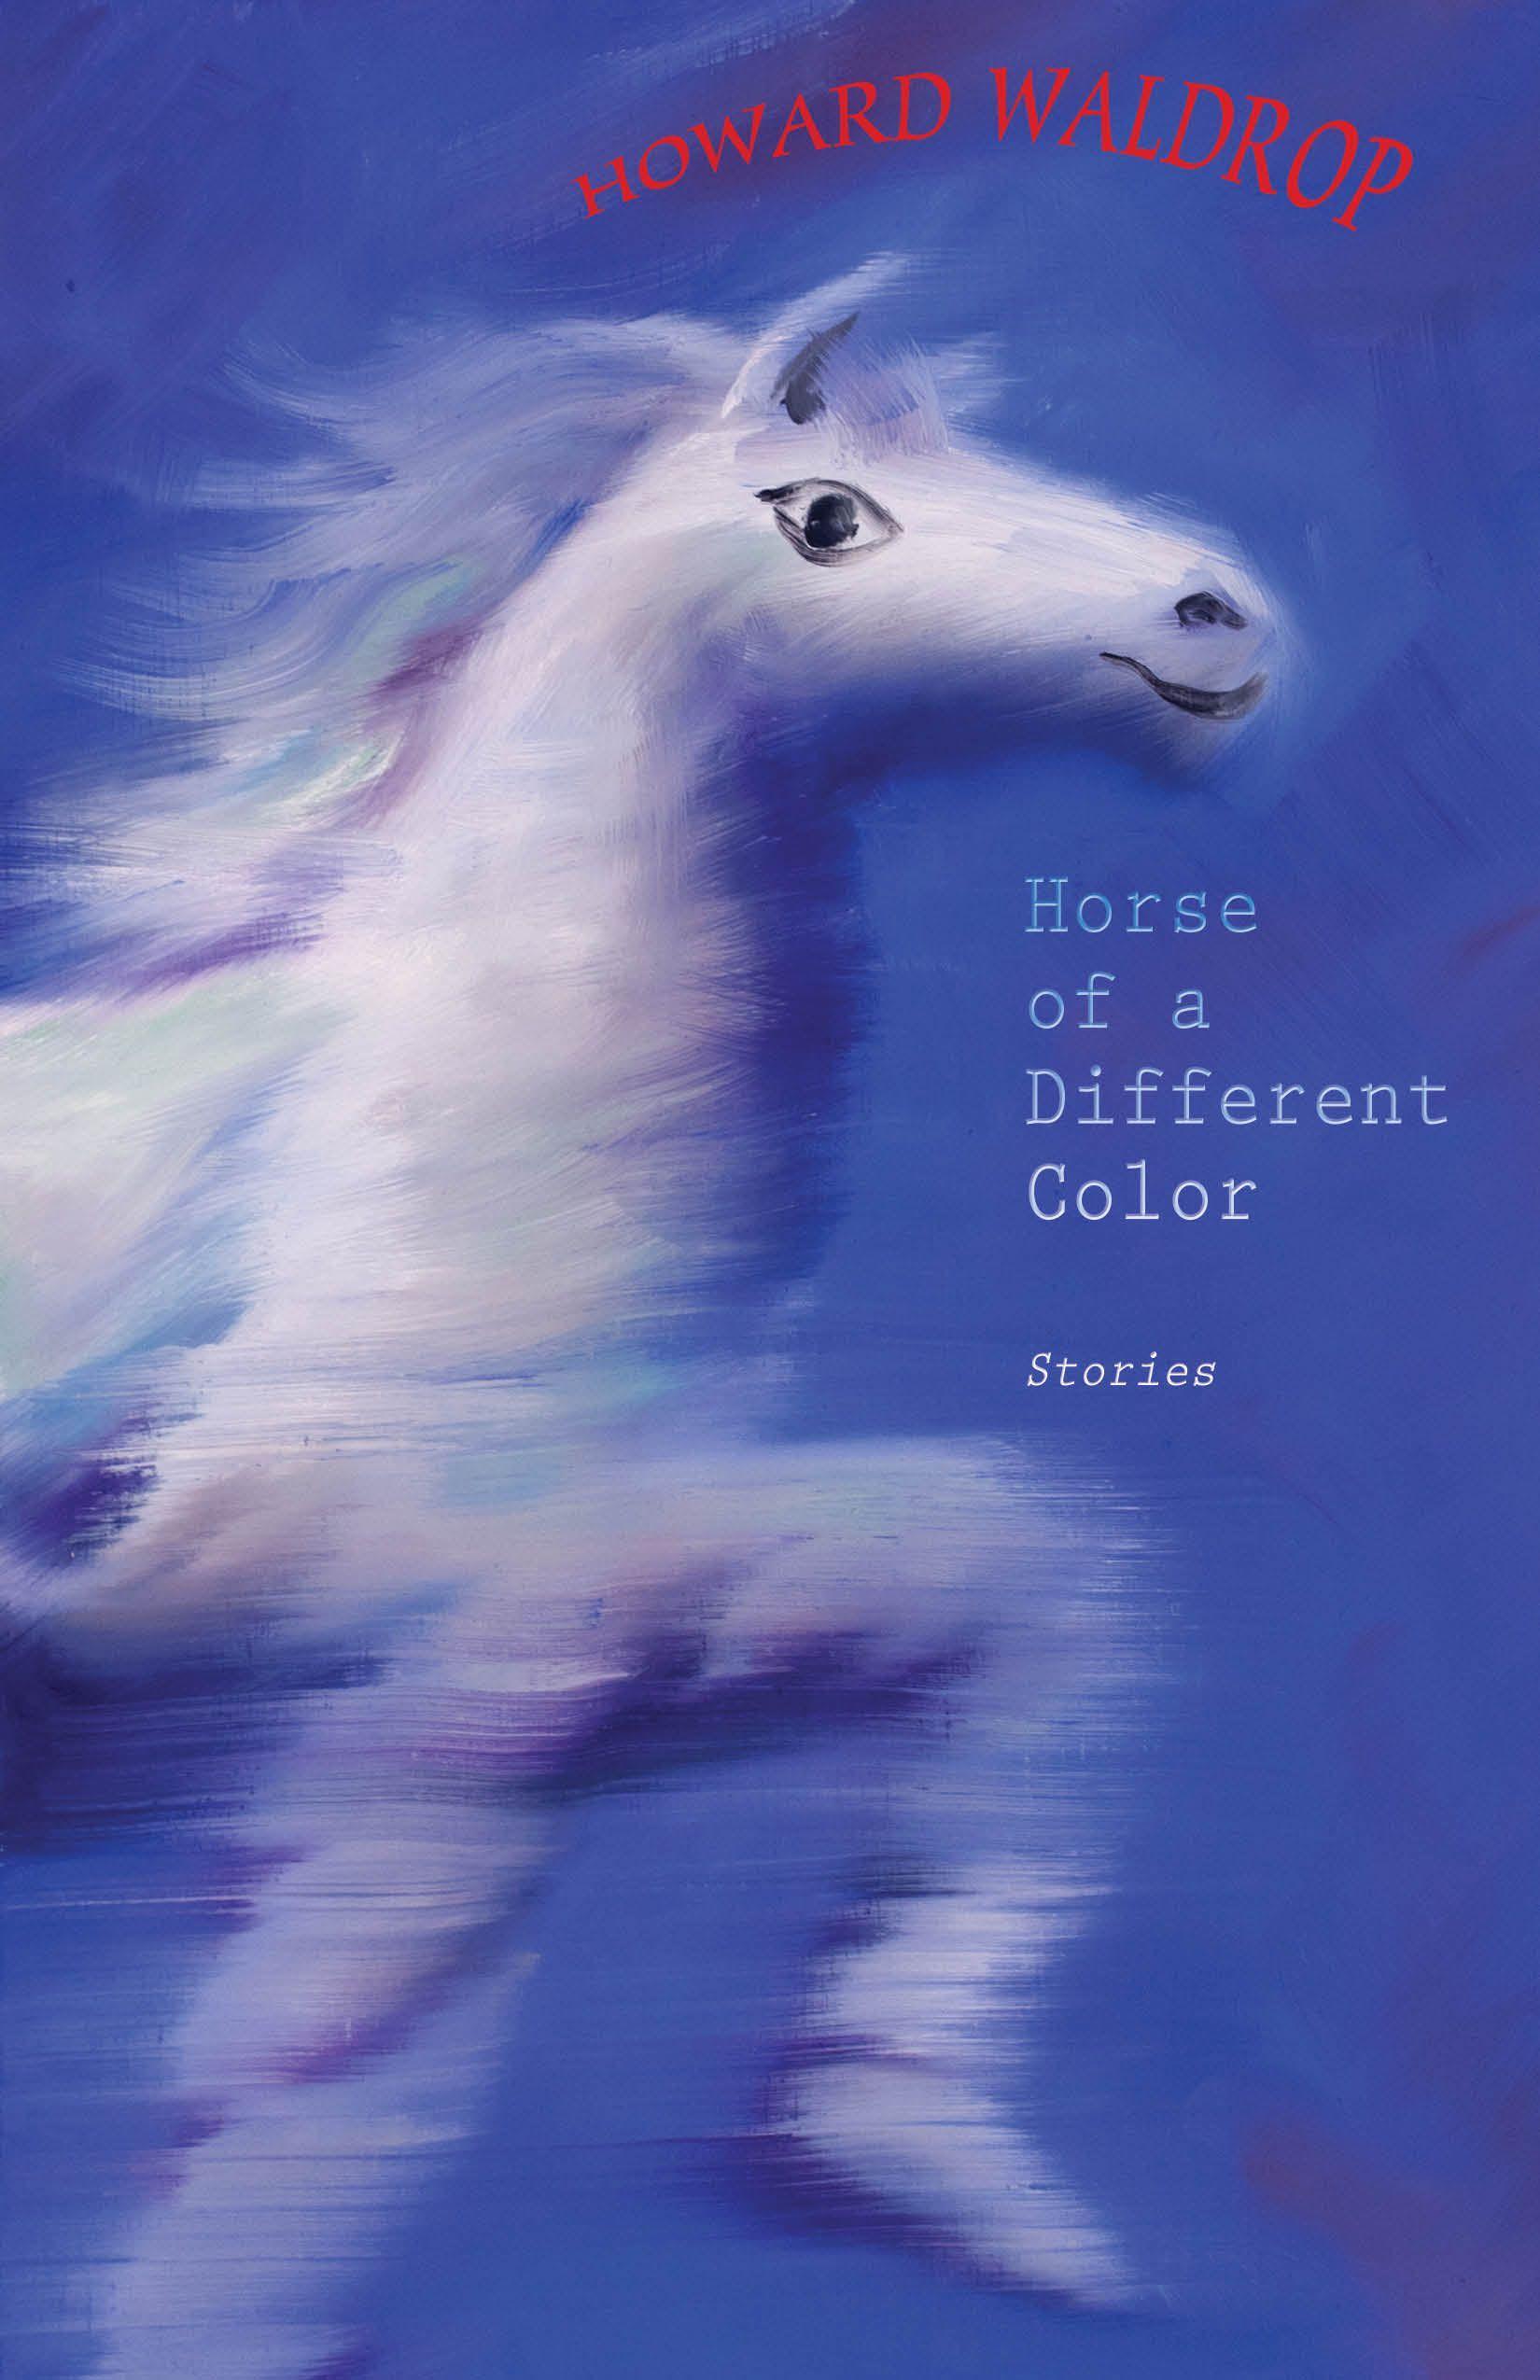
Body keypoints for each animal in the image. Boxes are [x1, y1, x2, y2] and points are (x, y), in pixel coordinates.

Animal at [0, 260, 1280, 2378]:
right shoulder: (431, 1705)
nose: (1220, 615)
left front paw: (924, 2165)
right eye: (826, 517)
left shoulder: (610, 1625)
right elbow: (299, 2139)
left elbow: (1046, 1581)